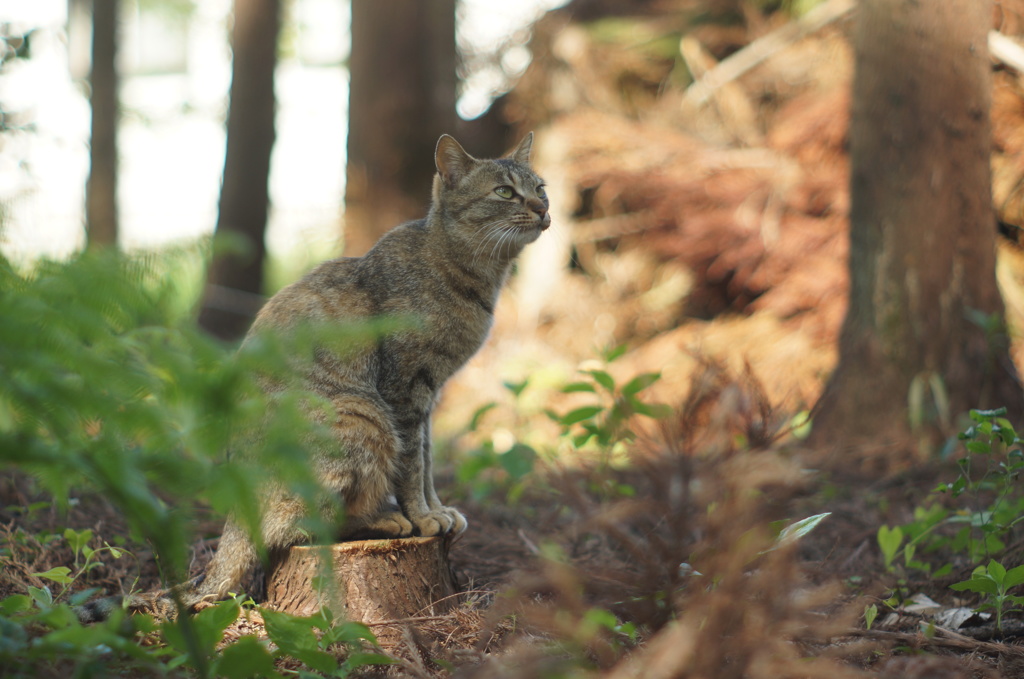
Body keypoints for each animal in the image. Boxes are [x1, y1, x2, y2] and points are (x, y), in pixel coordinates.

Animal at [77, 133, 552, 622]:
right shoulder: (404, 390)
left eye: (540, 187)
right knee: (305, 526)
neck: (468, 270)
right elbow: (412, 467)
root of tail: (237, 513)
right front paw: (423, 516)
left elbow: (428, 462)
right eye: (505, 192)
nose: (541, 208)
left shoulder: (429, 394)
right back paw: (381, 517)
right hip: (361, 417)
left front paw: (438, 508)